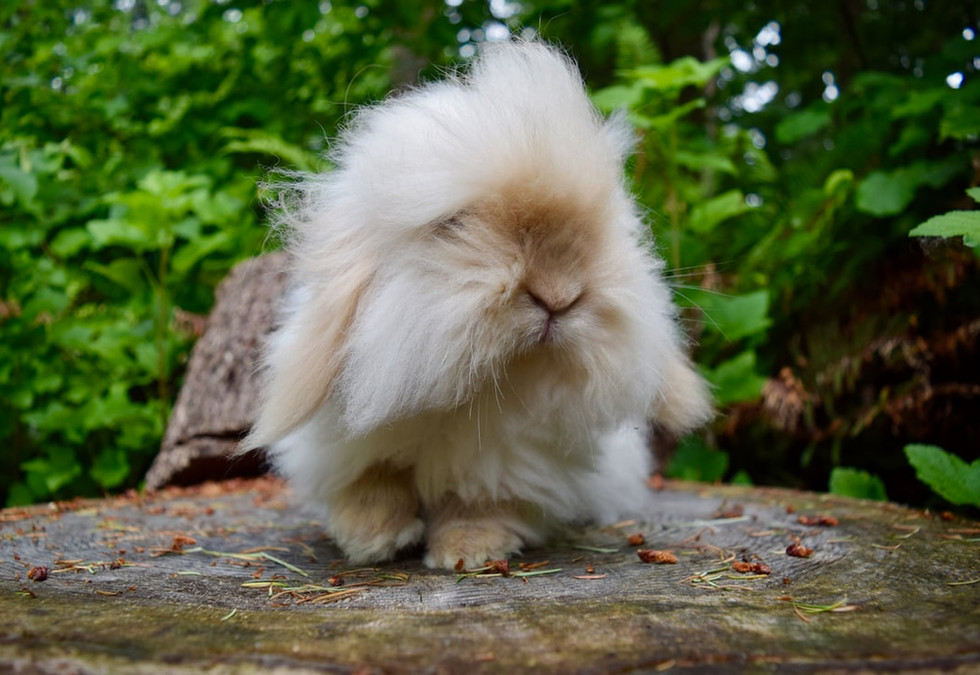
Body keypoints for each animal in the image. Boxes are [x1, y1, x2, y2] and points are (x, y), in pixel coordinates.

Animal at [242, 40, 712, 570]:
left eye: (601, 228)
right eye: (454, 224)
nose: (559, 296)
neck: (473, 392)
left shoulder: (508, 465)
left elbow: (479, 502)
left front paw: (467, 552)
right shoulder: (343, 447)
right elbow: (372, 484)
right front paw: (375, 540)